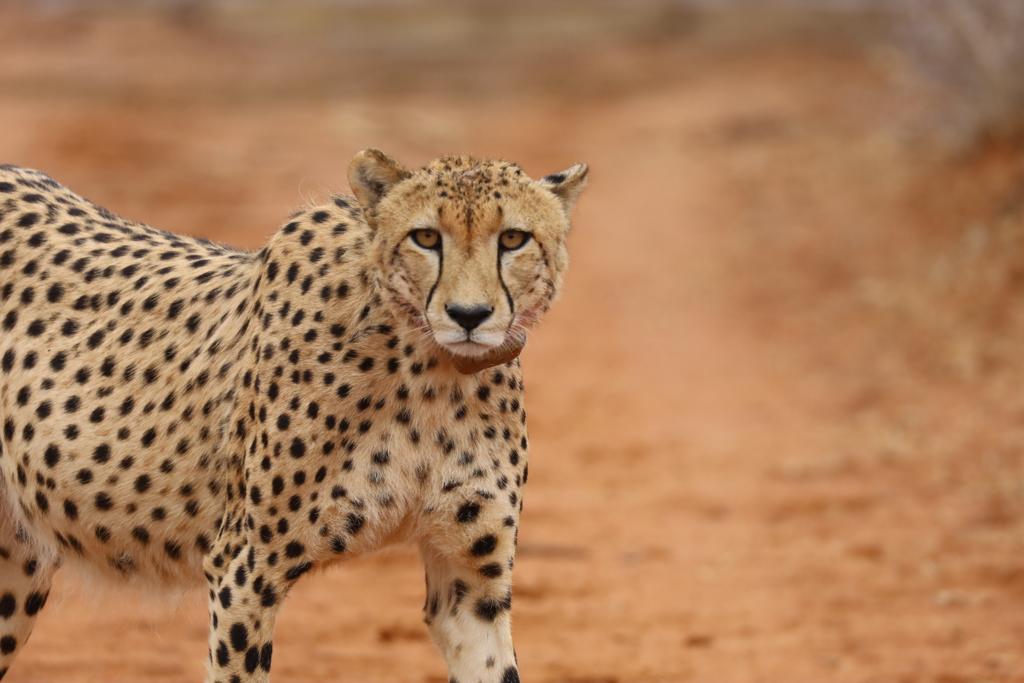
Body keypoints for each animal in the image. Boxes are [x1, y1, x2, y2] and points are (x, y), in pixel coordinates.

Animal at [0, 149, 588, 683]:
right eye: (425, 237)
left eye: (512, 239)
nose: (469, 315)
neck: (434, 373)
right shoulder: (245, 569)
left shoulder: (471, 581)